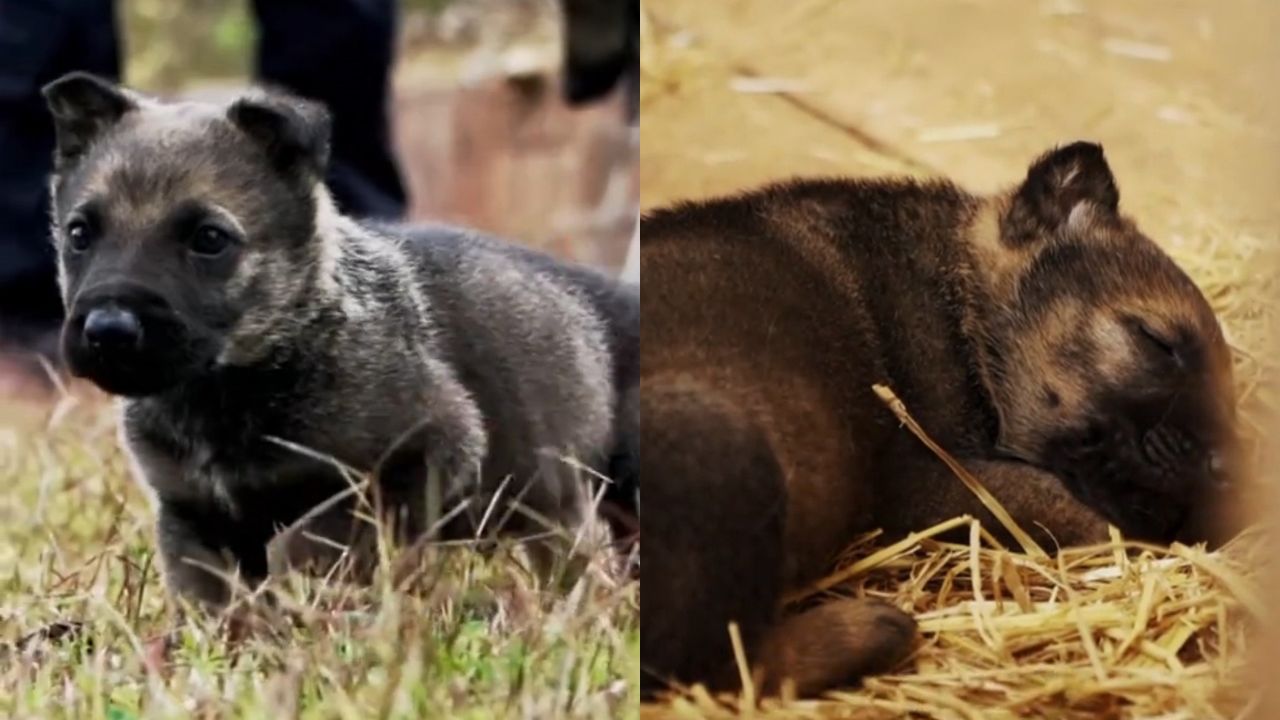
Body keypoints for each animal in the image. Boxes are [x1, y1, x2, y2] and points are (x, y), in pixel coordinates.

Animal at [40, 73, 640, 607]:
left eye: (209, 239)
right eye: (79, 234)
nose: (108, 330)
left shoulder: (418, 456)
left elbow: (312, 537)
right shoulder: (190, 514)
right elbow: (213, 596)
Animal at [645, 141, 1244, 696]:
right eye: (1156, 340)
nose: (1228, 469)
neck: (961, 295)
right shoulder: (926, 479)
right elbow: (1073, 510)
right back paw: (872, 630)